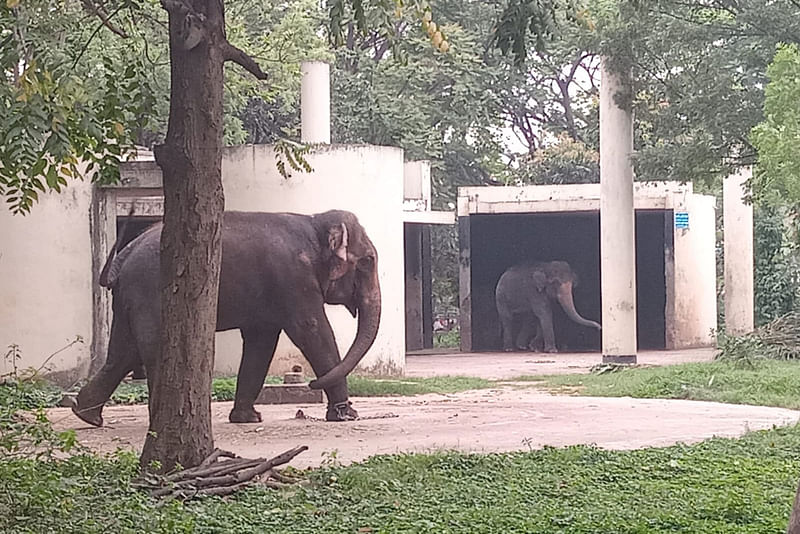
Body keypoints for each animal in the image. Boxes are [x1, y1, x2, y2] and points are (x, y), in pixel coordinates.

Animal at [72, 209, 382, 428]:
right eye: (368, 261)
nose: (309, 384)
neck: (314, 220)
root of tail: (125, 253)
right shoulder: (294, 279)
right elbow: (312, 329)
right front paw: (347, 415)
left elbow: (261, 342)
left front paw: (248, 418)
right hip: (150, 291)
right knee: (152, 349)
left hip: (128, 298)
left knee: (122, 353)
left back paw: (87, 415)